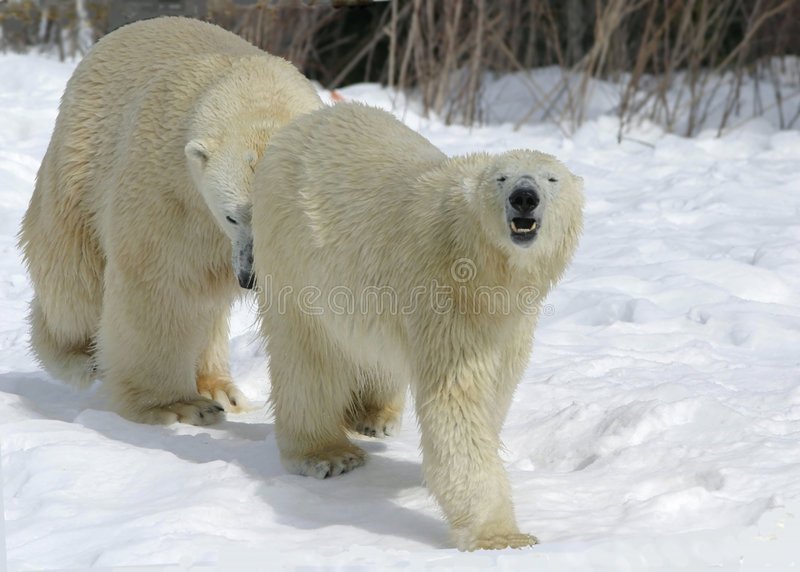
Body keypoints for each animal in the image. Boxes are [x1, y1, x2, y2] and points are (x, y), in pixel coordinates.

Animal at [17, 16, 322, 424]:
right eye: (232, 216)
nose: (250, 277)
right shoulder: (170, 189)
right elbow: (161, 283)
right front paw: (177, 405)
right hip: (79, 163)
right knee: (72, 285)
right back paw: (78, 356)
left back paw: (221, 389)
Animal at [253, 103, 584, 548]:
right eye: (501, 178)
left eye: (552, 178)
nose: (524, 197)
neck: (479, 264)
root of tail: (296, 126)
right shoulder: (444, 301)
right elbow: (457, 402)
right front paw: (501, 536)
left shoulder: (510, 321)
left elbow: (498, 388)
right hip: (293, 252)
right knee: (307, 354)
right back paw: (326, 454)